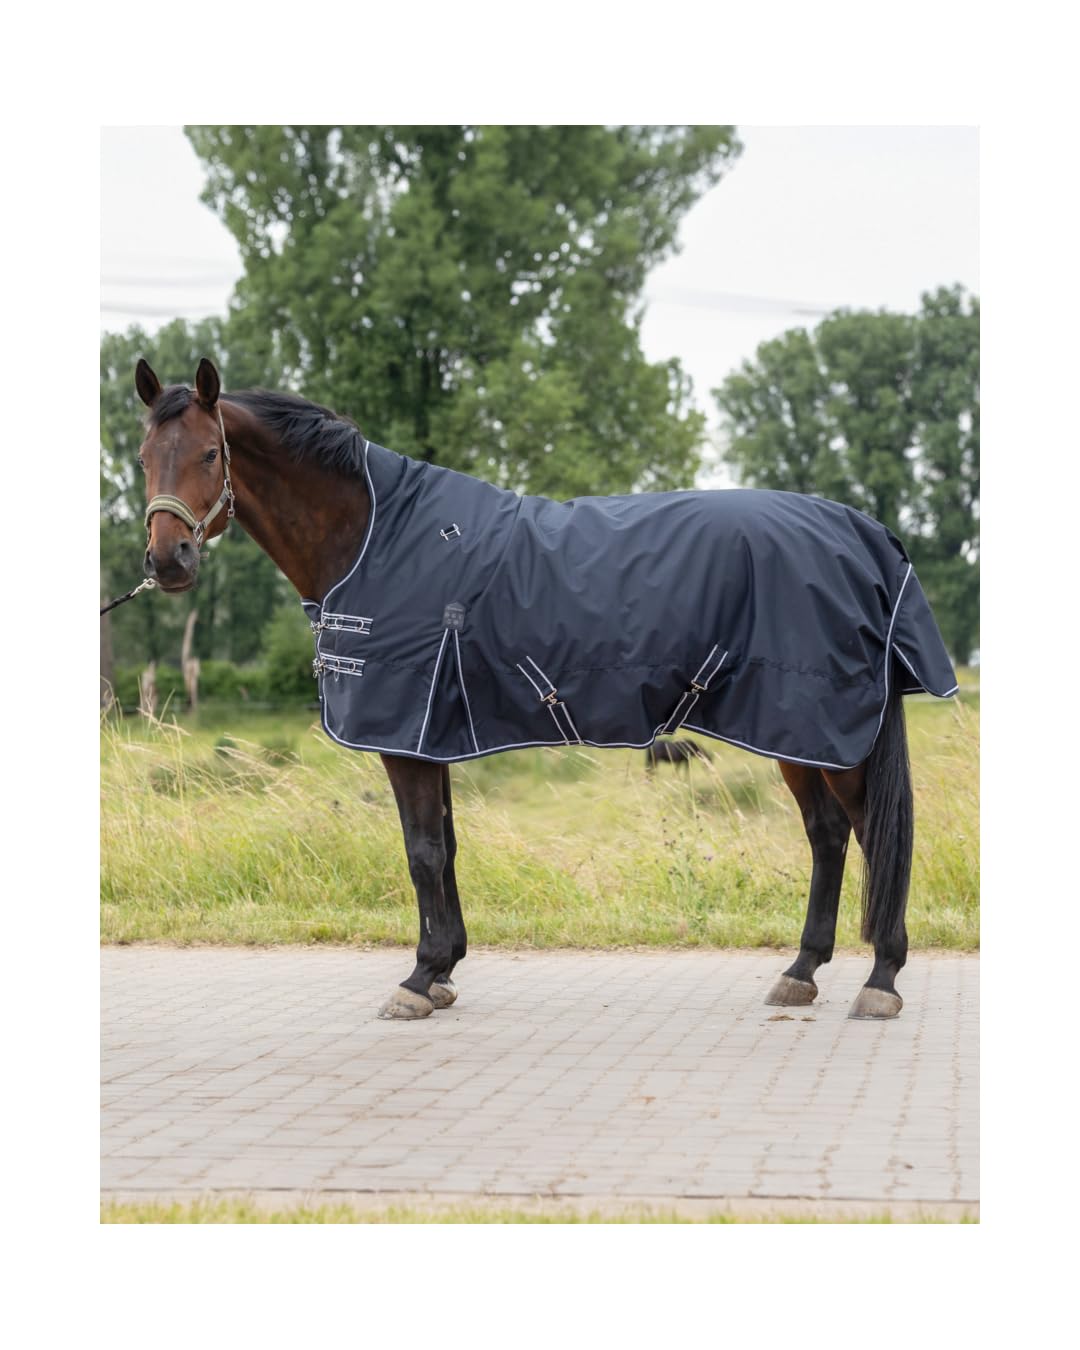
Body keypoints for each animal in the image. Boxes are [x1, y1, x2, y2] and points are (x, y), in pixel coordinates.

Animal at [131, 357, 958, 1022]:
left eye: (210, 452)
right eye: (143, 457)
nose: (168, 560)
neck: (373, 535)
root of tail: (866, 535)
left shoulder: (405, 734)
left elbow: (421, 851)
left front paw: (418, 979)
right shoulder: (431, 732)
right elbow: (445, 847)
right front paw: (445, 970)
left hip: (825, 726)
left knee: (869, 832)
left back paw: (880, 978)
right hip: (797, 729)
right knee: (827, 834)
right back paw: (801, 971)